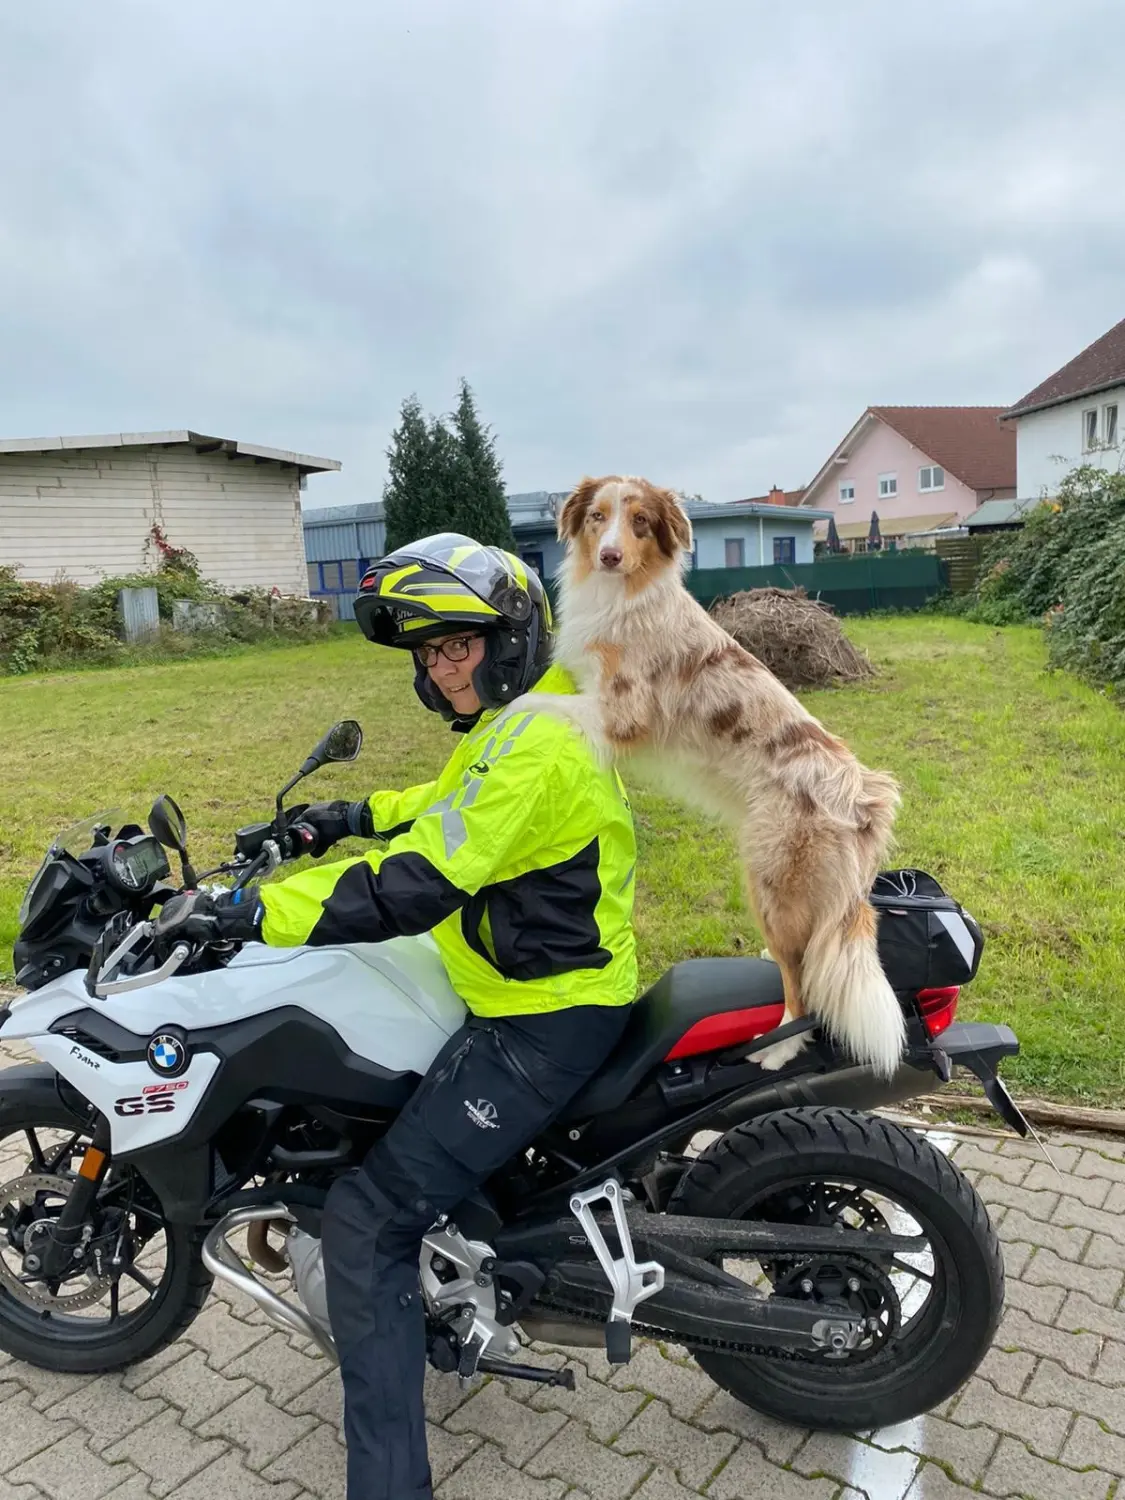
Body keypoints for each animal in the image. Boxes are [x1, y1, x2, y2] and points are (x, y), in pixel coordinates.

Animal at [516, 474, 912, 1074]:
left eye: (639, 522)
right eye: (597, 517)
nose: (609, 556)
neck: (623, 594)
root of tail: (865, 799)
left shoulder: (621, 716)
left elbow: (531, 703)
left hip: (770, 884)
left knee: (802, 984)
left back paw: (777, 1050)